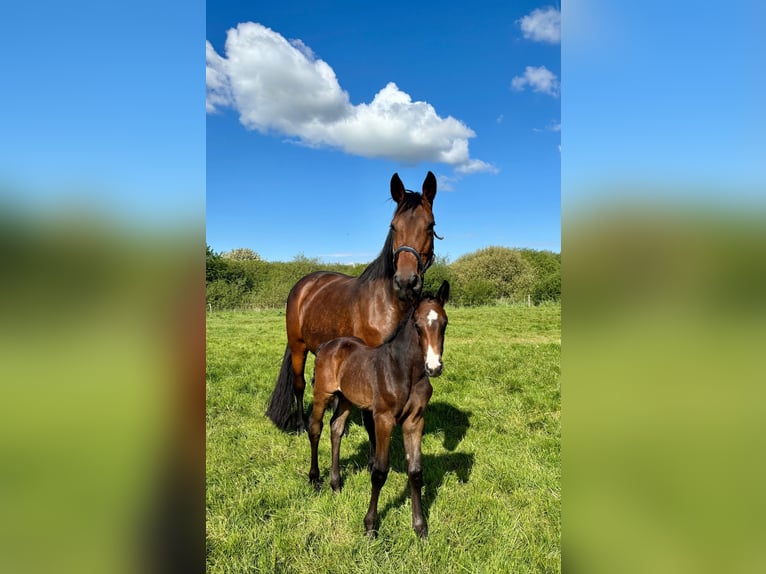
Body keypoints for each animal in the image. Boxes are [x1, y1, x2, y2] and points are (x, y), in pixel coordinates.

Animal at [266, 172, 440, 434]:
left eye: (430, 226)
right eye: (393, 226)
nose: (406, 281)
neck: (386, 304)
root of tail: (304, 285)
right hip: (298, 347)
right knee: (299, 384)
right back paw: (300, 426)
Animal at [307, 280, 449, 539]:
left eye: (444, 322)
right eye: (417, 325)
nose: (434, 367)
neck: (405, 371)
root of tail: (326, 346)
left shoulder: (415, 420)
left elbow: (415, 471)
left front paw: (420, 527)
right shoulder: (383, 419)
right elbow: (379, 472)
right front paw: (371, 526)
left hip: (346, 399)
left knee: (336, 428)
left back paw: (336, 484)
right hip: (322, 394)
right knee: (315, 428)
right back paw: (314, 479)